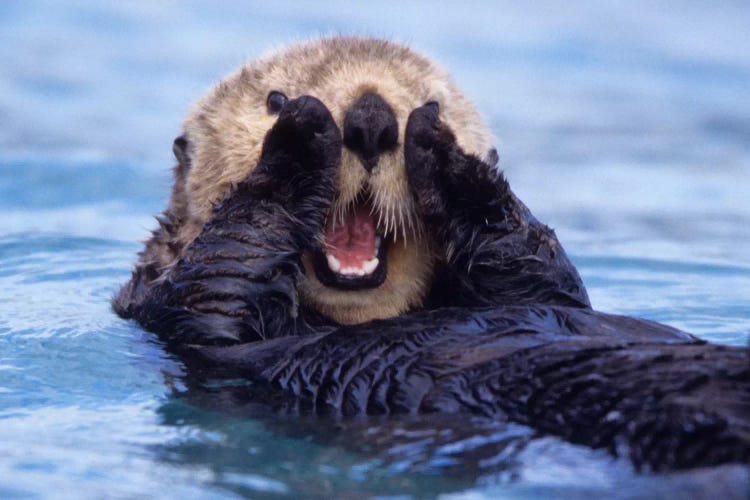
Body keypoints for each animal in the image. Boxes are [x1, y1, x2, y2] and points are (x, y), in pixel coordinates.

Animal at [113, 37, 750, 470]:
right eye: (273, 97)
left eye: (432, 100)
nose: (371, 117)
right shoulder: (173, 307)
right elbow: (223, 273)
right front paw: (300, 138)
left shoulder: (543, 289)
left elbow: (543, 274)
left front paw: (448, 158)